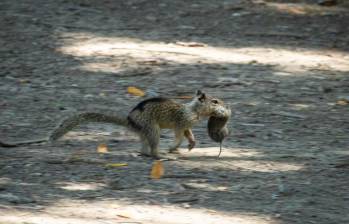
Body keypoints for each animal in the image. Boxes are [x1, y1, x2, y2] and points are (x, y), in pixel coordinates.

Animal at [1, 90, 230, 158]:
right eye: (215, 101)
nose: (226, 105)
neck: (193, 110)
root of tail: (130, 121)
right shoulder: (180, 122)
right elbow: (179, 135)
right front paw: (176, 147)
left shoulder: (187, 124)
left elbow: (189, 134)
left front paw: (192, 144)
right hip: (153, 129)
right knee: (153, 147)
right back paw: (161, 155)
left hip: (145, 132)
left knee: (144, 148)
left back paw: (145, 153)